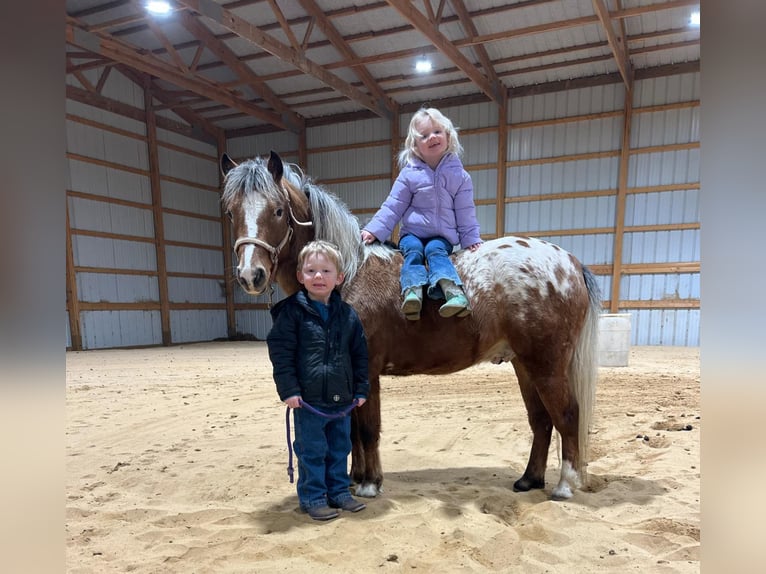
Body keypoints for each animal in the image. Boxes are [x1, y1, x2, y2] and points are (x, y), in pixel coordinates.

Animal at [222, 151, 608, 502]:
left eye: (278, 210)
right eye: (231, 212)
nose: (250, 274)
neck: (348, 274)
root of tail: (568, 262)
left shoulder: (366, 372)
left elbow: (367, 430)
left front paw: (369, 483)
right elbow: (352, 432)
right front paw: (354, 478)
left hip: (547, 365)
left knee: (567, 416)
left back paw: (564, 485)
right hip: (524, 365)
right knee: (541, 421)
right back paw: (529, 480)